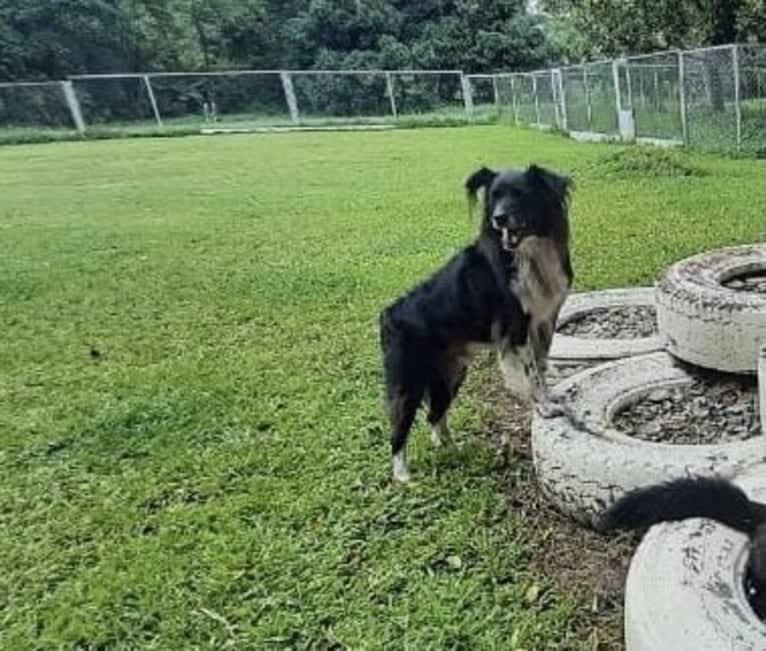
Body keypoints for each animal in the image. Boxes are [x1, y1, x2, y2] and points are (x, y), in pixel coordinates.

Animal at [380, 164, 572, 478]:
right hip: (407, 379)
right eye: (494, 197)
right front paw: (543, 407)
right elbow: (531, 372)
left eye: (520, 194)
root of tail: (387, 315)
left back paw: (451, 448)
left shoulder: (545, 321)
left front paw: (547, 398)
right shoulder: (516, 329)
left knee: (434, 415)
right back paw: (403, 476)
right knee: (399, 426)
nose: (499, 218)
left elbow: (541, 367)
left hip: (451, 373)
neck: (527, 252)